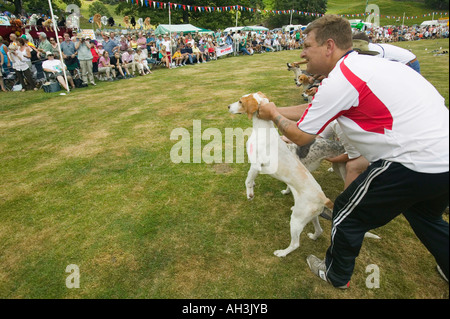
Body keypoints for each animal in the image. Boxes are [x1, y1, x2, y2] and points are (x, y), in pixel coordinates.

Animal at [229, 92, 334, 258]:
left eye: (240, 101)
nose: (228, 106)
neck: (263, 128)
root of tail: (324, 198)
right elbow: (251, 179)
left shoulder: (255, 165)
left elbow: (247, 181)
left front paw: (250, 194)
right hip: (312, 217)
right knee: (319, 230)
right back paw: (313, 236)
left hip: (297, 220)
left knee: (295, 244)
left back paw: (282, 253)